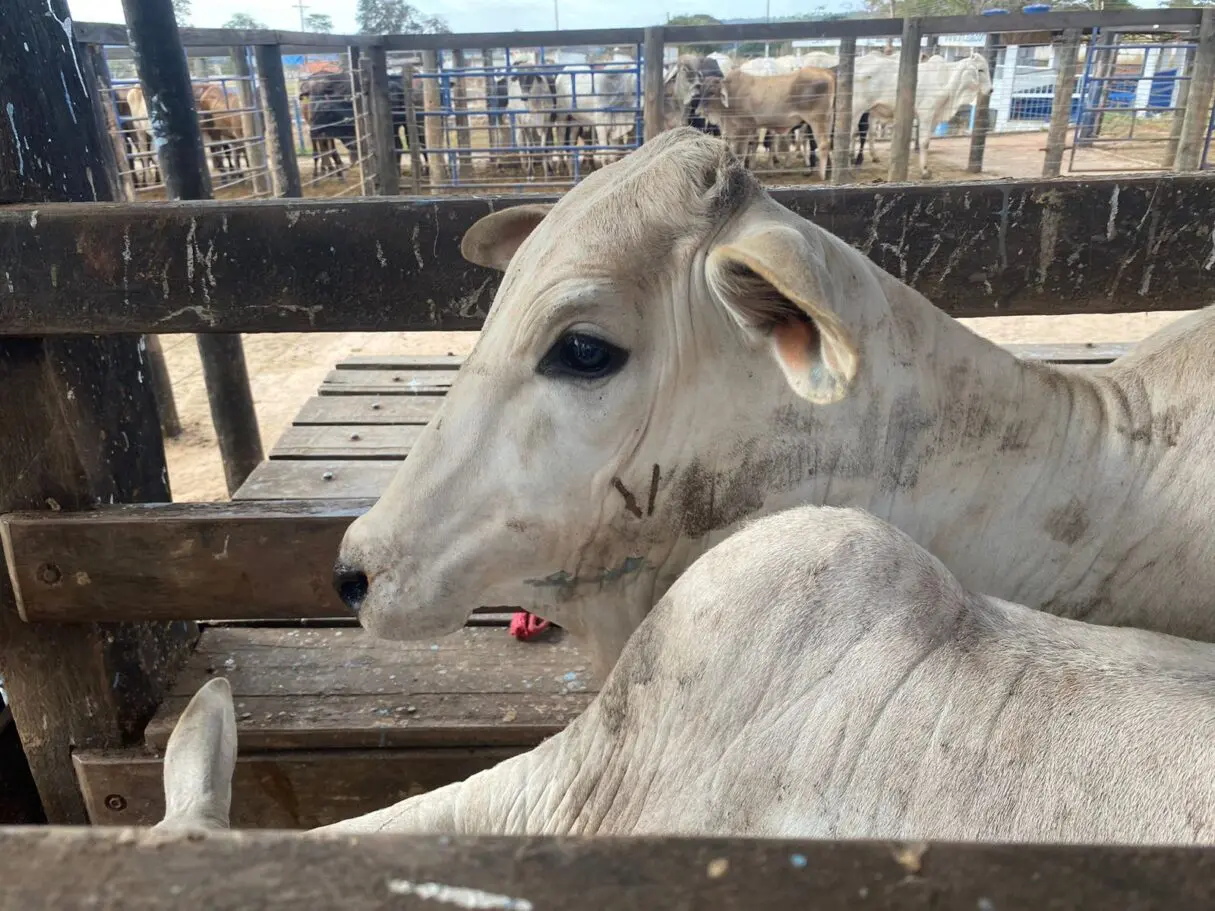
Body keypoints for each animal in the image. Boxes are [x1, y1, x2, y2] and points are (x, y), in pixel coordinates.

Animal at [694, 68, 835, 182]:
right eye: (701, 91)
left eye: (712, 92)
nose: (698, 111)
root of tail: (826, 72)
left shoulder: (743, 130)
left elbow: (740, 154)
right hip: (826, 120)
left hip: (817, 119)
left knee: (822, 144)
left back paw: (821, 175)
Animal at [850, 51, 991, 176]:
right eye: (980, 70)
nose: (991, 90)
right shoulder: (926, 113)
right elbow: (924, 142)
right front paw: (924, 171)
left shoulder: (934, 117)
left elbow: (927, 141)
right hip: (857, 108)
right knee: (853, 133)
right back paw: (852, 160)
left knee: (862, 133)